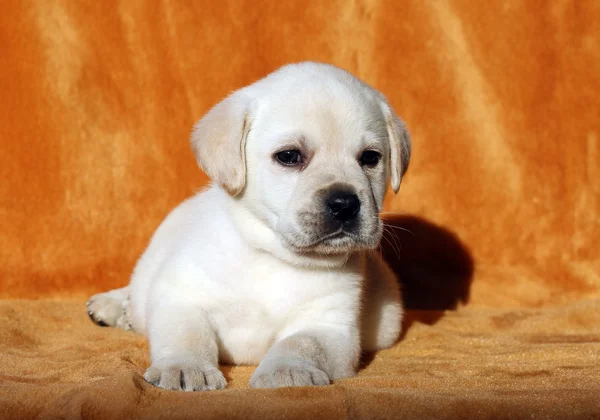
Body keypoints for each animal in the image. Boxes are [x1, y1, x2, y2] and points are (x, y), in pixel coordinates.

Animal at [86, 62, 410, 390]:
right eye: (289, 156)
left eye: (370, 158)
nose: (344, 203)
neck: (272, 255)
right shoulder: (182, 297)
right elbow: (187, 335)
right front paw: (184, 367)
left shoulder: (331, 327)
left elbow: (301, 343)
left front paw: (288, 370)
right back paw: (112, 306)